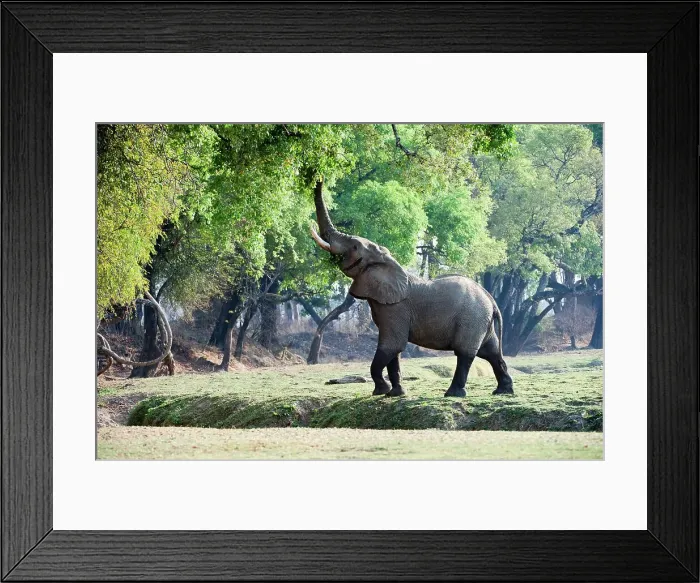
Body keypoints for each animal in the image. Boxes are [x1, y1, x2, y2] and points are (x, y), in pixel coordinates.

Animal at [309, 180, 513, 398]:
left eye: (355, 246)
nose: (319, 179)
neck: (388, 262)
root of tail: (491, 300)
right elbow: (393, 352)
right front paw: (394, 394)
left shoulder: (396, 308)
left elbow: (392, 345)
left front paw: (381, 391)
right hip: (481, 321)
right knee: (491, 352)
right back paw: (502, 391)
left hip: (472, 318)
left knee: (466, 353)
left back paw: (453, 394)